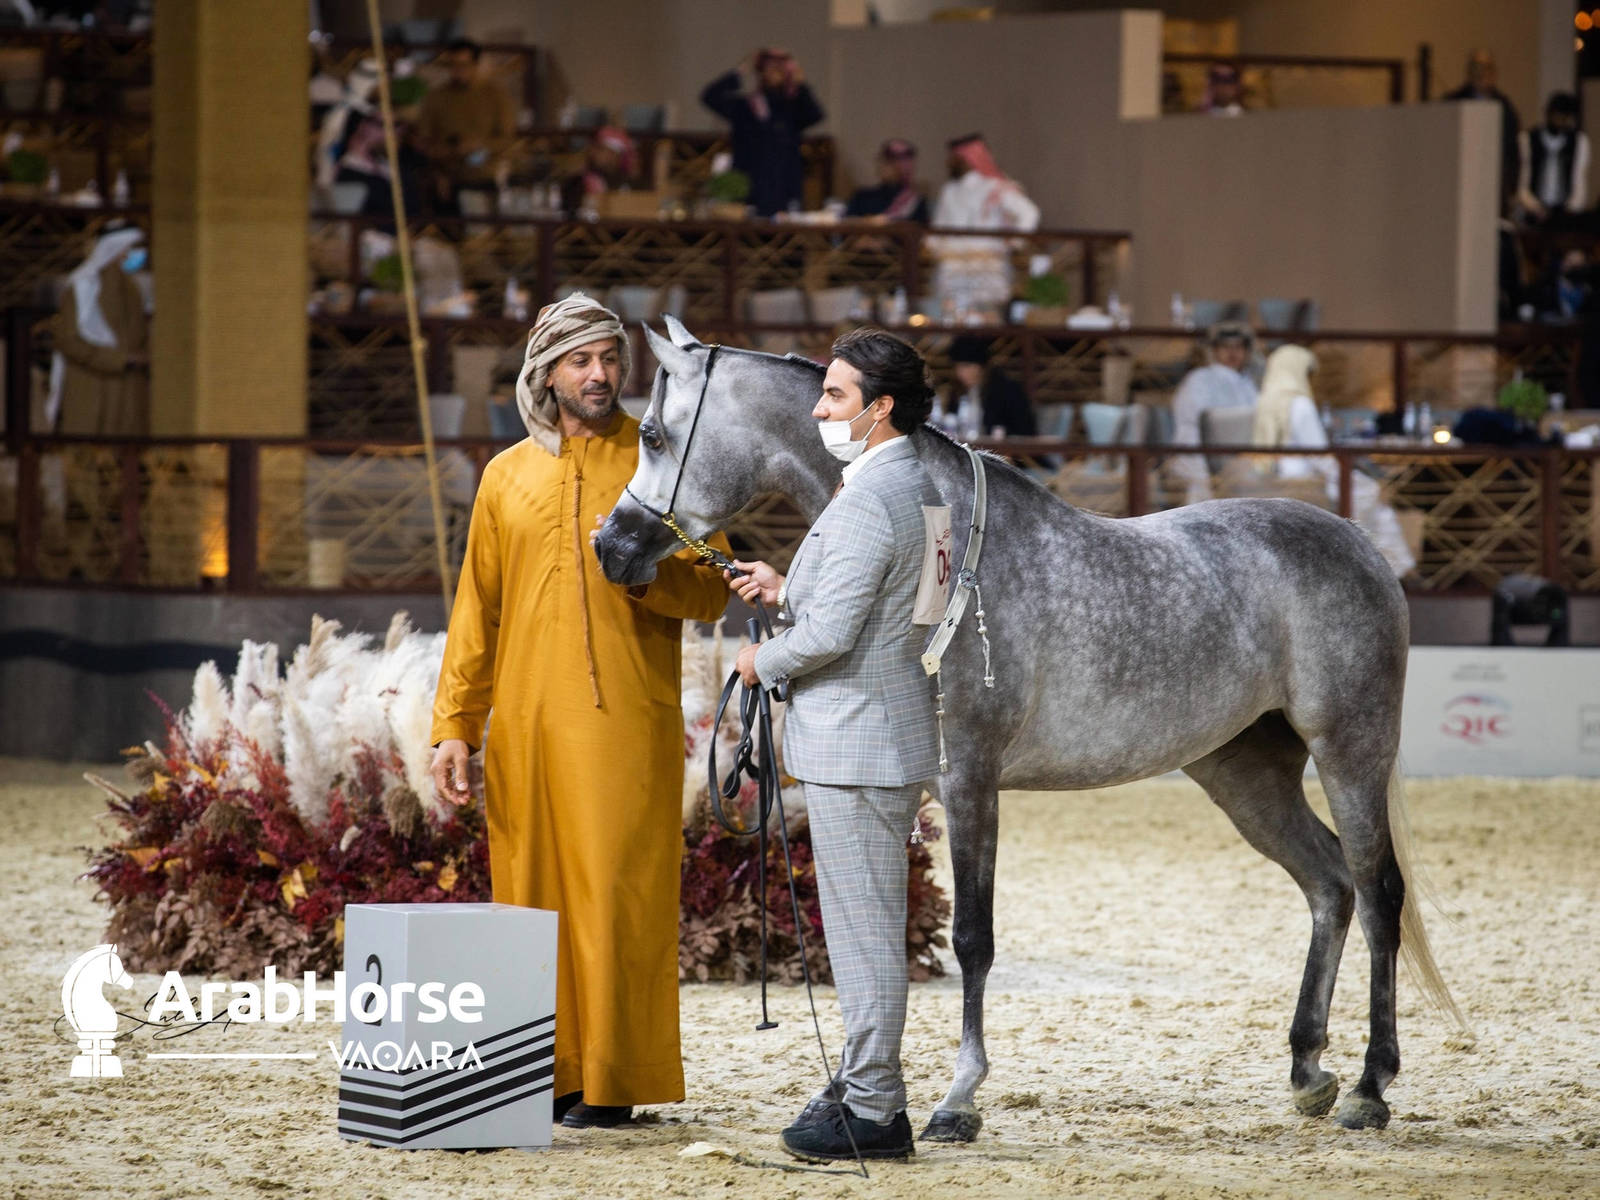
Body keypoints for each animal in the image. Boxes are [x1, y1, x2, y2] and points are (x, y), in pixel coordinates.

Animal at [592, 317, 1464, 1140]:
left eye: (652, 434)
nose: (609, 545)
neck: (943, 539)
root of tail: (1362, 548)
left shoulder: (970, 779)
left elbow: (972, 939)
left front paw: (957, 1100)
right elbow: (876, 937)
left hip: (1349, 751)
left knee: (1380, 892)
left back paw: (1370, 1085)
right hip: (1244, 773)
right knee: (1328, 882)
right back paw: (1308, 1069)